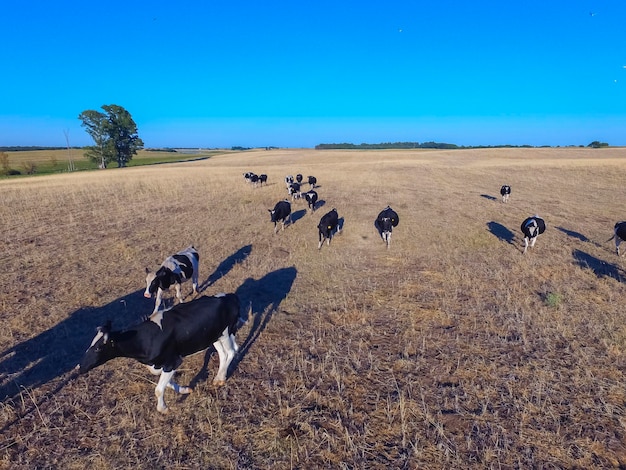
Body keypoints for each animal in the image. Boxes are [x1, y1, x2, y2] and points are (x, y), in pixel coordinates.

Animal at [77, 294, 241, 414]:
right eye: (90, 345)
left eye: (98, 348)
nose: (79, 367)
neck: (144, 339)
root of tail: (229, 297)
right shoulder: (159, 365)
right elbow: (162, 379)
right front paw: (184, 389)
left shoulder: (173, 361)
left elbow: (158, 389)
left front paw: (163, 408)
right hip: (213, 336)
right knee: (223, 353)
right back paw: (219, 377)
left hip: (225, 333)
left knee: (231, 351)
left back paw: (220, 378)